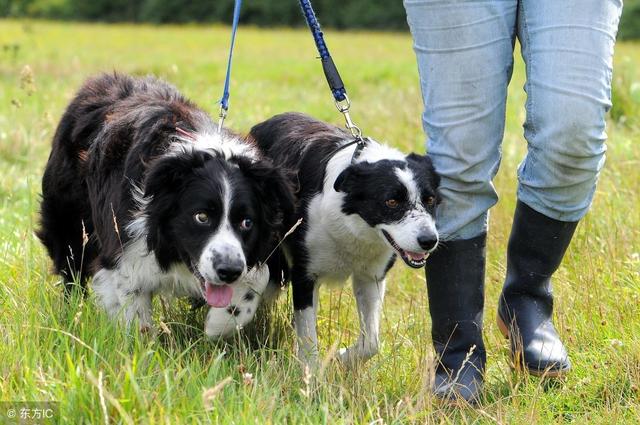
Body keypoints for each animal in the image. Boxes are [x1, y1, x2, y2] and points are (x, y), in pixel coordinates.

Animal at [37, 73, 292, 338]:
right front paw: (139, 343)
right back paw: (70, 313)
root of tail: (98, 81)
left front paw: (220, 323)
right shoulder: (124, 240)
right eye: (201, 217)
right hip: (67, 212)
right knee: (71, 261)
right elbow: (130, 298)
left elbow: (260, 275)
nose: (229, 271)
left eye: (247, 222)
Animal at [250, 112, 440, 364]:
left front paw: (340, 358)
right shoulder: (304, 274)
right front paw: (311, 372)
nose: (429, 240)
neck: (354, 226)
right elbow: (309, 342)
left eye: (430, 200)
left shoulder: (371, 276)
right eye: (391, 202)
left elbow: (371, 343)